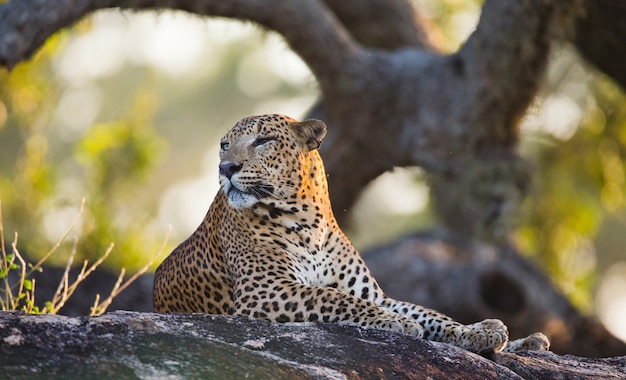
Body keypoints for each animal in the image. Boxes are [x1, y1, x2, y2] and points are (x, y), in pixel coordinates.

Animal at [154, 113, 548, 354]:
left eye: (263, 140)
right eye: (224, 144)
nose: (226, 167)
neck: (306, 222)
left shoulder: (372, 293)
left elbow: (430, 314)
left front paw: (474, 333)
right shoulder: (265, 292)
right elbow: (333, 298)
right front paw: (397, 323)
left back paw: (515, 336)